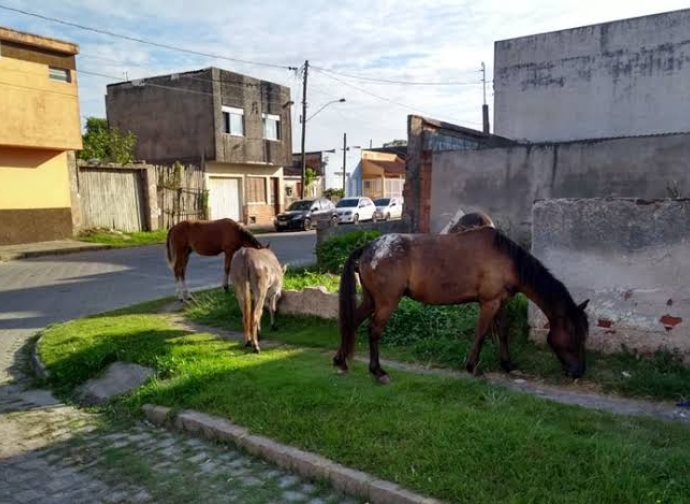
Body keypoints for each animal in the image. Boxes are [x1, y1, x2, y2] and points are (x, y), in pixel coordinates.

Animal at [334, 226, 584, 384]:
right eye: (574, 336)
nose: (578, 371)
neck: (506, 259)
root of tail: (369, 247)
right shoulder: (489, 303)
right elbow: (481, 334)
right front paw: (473, 367)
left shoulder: (501, 303)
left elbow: (503, 332)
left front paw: (508, 365)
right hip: (387, 302)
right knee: (373, 331)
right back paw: (378, 372)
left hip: (370, 300)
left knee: (352, 323)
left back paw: (341, 362)